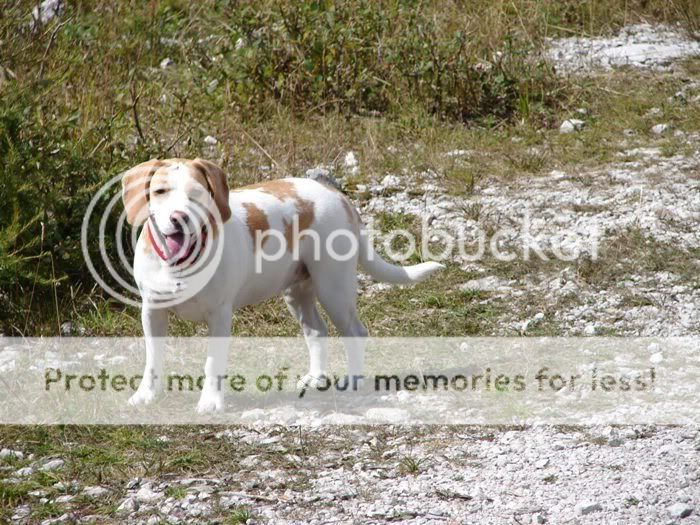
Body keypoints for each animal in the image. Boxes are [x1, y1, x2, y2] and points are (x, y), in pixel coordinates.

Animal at [120, 158, 442, 412]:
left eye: (197, 192)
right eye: (160, 192)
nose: (179, 218)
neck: (181, 263)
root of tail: (337, 195)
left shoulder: (220, 317)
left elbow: (213, 363)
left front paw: (210, 402)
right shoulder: (152, 313)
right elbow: (152, 360)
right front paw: (145, 396)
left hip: (334, 290)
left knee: (355, 333)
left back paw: (352, 381)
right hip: (297, 293)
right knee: (317, 332)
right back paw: (316, 378)